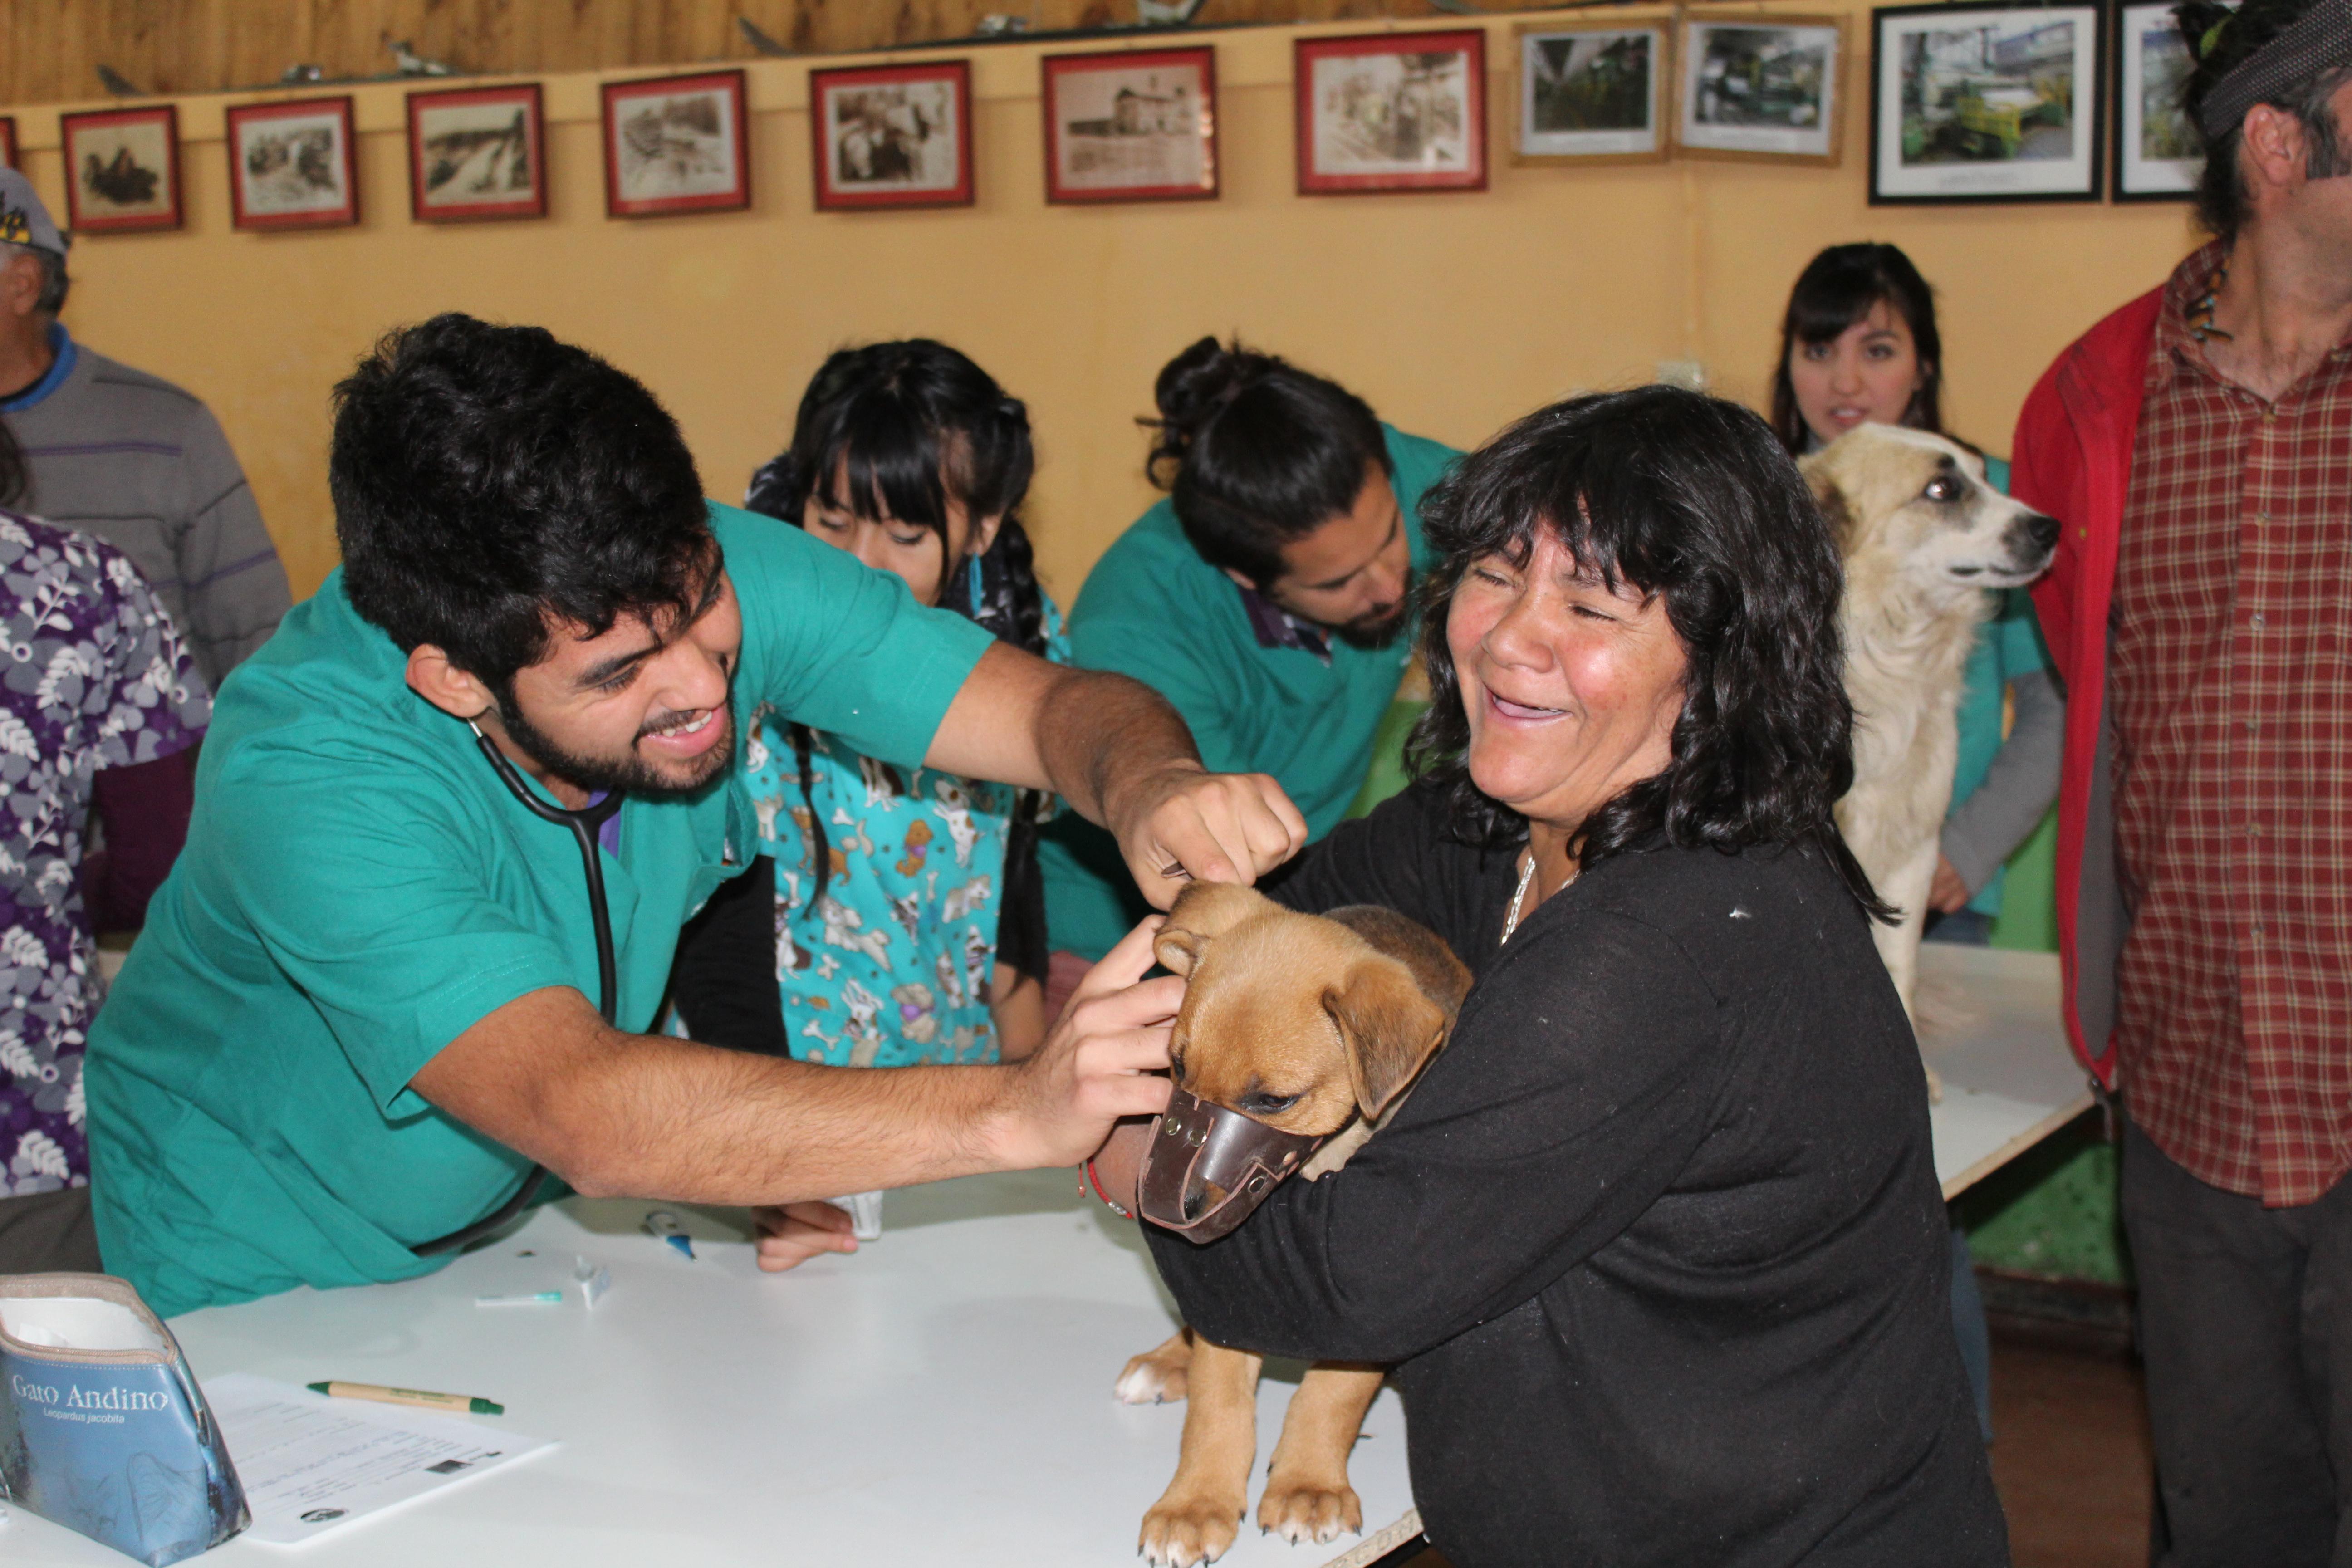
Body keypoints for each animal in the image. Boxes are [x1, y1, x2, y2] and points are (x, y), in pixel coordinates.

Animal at [1119, 884, 1467, 1568]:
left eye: (1274, 1101)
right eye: (1177, 1068)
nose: (1175, 1208)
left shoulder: (1365, 1290)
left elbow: (1332, 1392)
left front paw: (1309, 1486)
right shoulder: (1237, 1280)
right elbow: (1218, 1402)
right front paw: (1196, 1502)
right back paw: (1168, 1360)